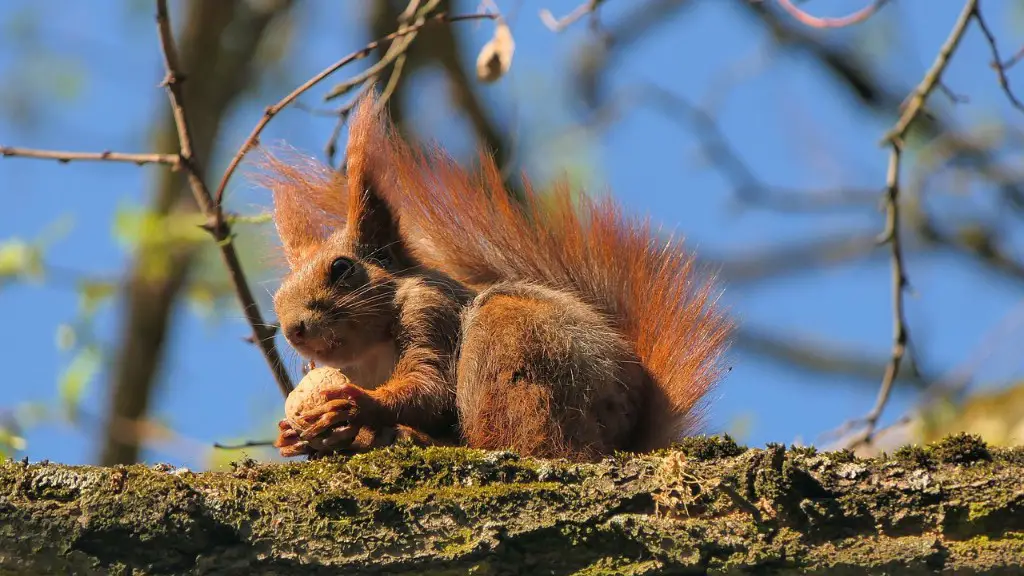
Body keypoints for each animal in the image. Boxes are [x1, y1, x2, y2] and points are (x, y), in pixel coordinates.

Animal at [260, 94, 733, 459]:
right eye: (277, 297)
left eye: (342, 268)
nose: (294, 329)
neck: (368, 353)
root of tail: (624, 438)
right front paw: (291, 437)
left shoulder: (431, 311)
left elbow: (430, 386)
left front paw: (358, 406)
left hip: (517, 339)